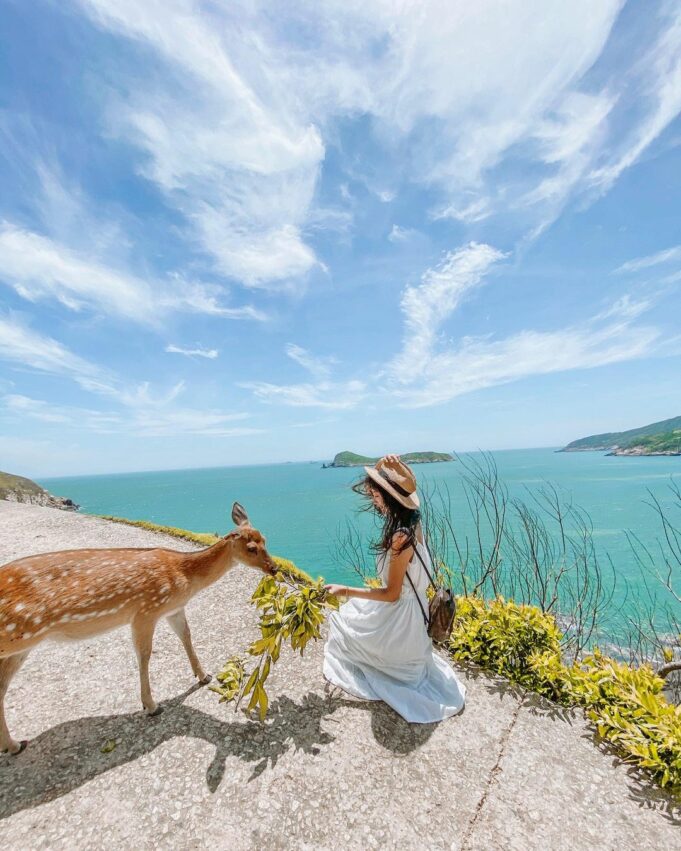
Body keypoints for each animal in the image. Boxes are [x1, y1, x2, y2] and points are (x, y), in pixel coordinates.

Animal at [1, 502, 274, 756]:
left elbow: (186, 635)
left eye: (265, 539)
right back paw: (13, 745)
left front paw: (204, 675)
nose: (275, 569)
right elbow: (144, 655)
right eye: (251, 548)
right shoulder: (146, 611)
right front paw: (151, 706)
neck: (185, 578)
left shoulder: (174, 609)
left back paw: (13, 745)